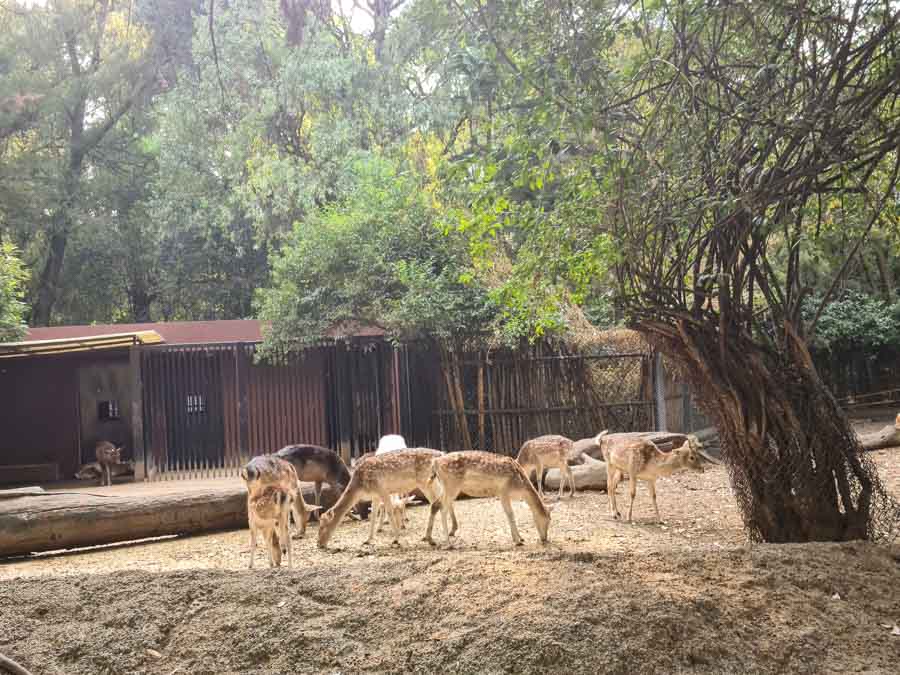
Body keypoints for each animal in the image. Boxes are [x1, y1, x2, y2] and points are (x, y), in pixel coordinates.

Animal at [318, 448, 448, 548]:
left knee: (437, 503)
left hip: (426, 482)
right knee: (439, 503)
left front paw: (396, 540)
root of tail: (441, 454)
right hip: (433, 483)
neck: (361, 487)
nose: (318, 544)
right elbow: (373, 516)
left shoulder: (382, 490)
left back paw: (434, 538)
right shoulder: (375, 496)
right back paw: (436, 537)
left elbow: (389, 512)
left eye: (323, 526)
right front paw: (367, 540)